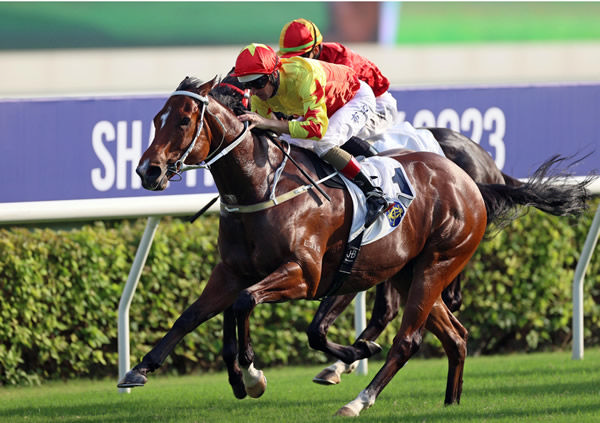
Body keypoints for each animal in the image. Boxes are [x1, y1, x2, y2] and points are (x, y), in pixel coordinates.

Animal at [119, 76, 592, 418]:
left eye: (183, 120)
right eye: (157, 118)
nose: (147, 170)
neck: (262, 185)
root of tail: (472, 182)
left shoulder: (305, 274)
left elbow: (247, 305)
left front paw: (252, 372)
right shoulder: (230, 271)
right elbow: (194, 315)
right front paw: (142, 369)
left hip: (438, 263)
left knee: (408, 339)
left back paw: (359, 399)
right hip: (412, 271)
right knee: (455, 336)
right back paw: (449, 401)